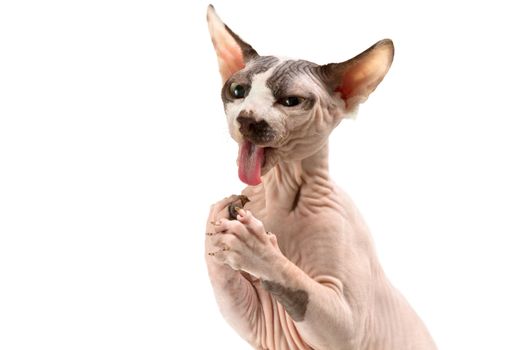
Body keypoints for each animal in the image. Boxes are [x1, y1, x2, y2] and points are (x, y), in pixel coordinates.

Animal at [203, 5, 436, 350]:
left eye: (290, 101)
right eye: (237, 91)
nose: (247, 120)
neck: (278, 192)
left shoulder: (348, 327)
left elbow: (297, 282)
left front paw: (256, 248)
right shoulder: (256, 321)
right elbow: (225, 284)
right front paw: (216, 223)